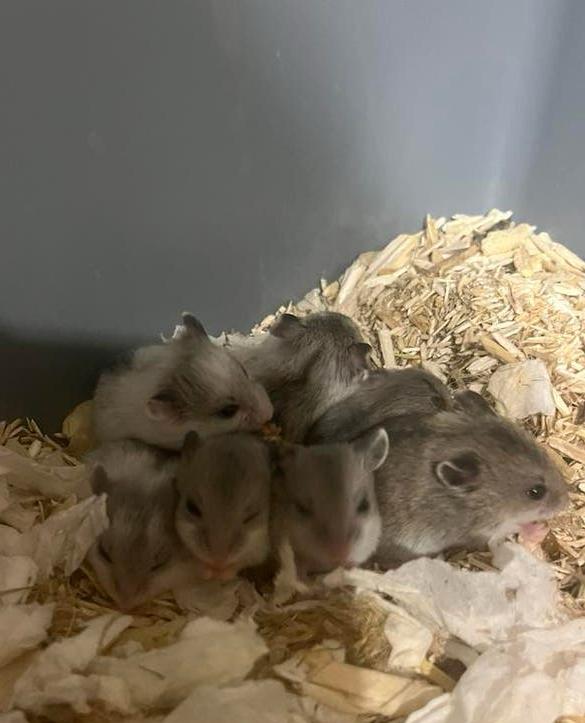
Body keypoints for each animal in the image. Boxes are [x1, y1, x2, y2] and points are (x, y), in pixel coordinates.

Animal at [174, 431, 272, 580]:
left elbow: (238, 564)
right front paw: (208, 573)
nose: (218, 562)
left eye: (253, 515)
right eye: (191, 507)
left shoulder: (259, 548)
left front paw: (222, 575)